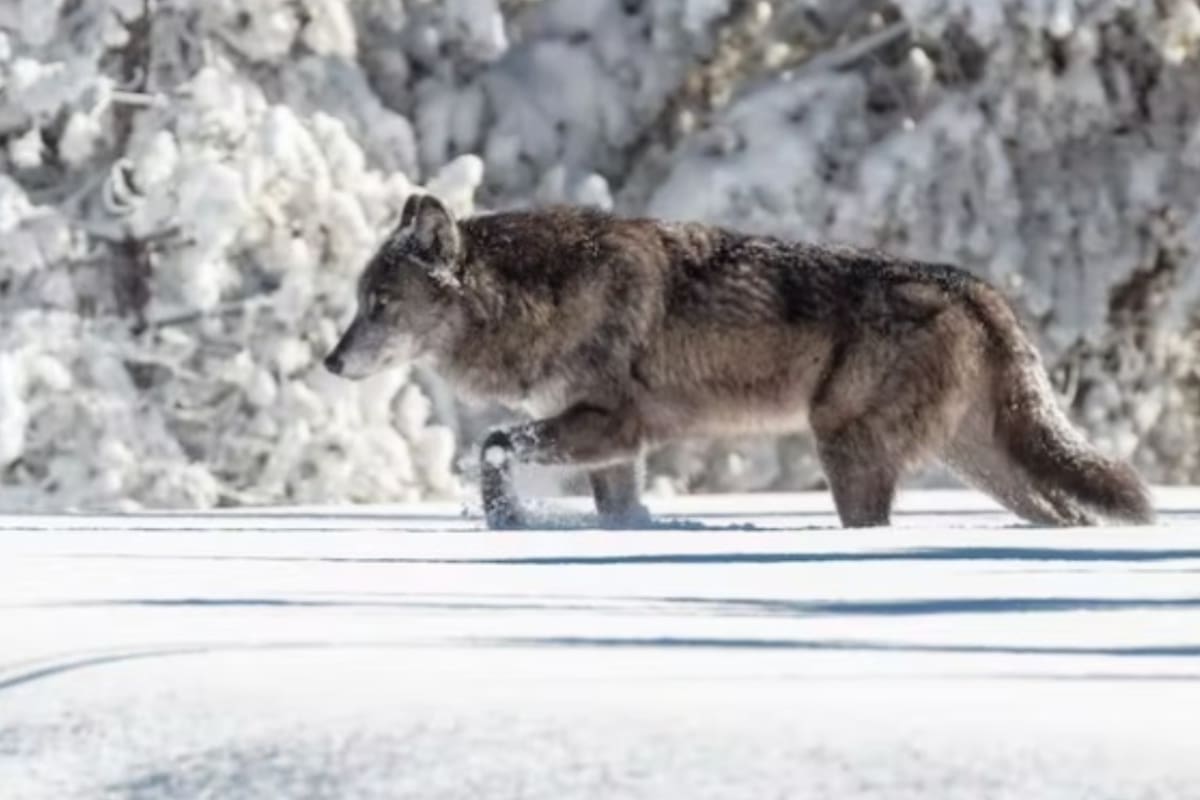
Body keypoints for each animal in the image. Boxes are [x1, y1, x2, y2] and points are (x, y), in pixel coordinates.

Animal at [324, 194, 1155, 529]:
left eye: (380, 304)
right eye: (358, 300)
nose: (331, 362)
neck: (537, 298)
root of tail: (974, 287)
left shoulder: (610, 425)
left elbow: (491, 447)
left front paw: (507, 522)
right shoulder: (615, 449)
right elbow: (614, 510)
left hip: (847, 449)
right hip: (981, 464)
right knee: (1065, 513)